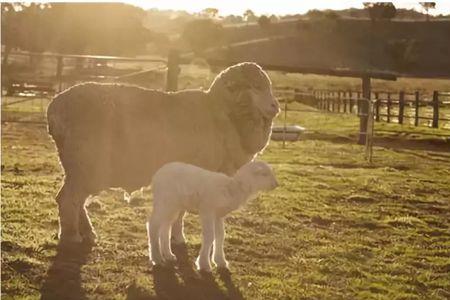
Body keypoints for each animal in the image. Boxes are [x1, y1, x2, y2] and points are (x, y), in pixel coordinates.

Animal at [48, 62, 278, 245]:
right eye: (256, 87)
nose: (275, 106)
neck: (221, 114)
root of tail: (56, 108)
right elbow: (182, 210)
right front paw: (178, 238)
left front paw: (175, 237)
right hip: (86, 165)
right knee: (69, 199)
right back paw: (71, 236)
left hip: (78, 168)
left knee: (75, 200)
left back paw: (87, 233)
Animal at [148, 162, 278, 272]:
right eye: (264, 174)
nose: (276, 184)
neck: (233, 189)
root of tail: (157, 175)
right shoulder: (207, 210)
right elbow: (209, 236)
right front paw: (204, 264)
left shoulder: (218, 215)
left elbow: (220, 236)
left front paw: (220, 261)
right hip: (165, 201)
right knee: (153, 225)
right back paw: (157, 258)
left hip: (173, 205)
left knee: (165, 227)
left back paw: (168, 254)